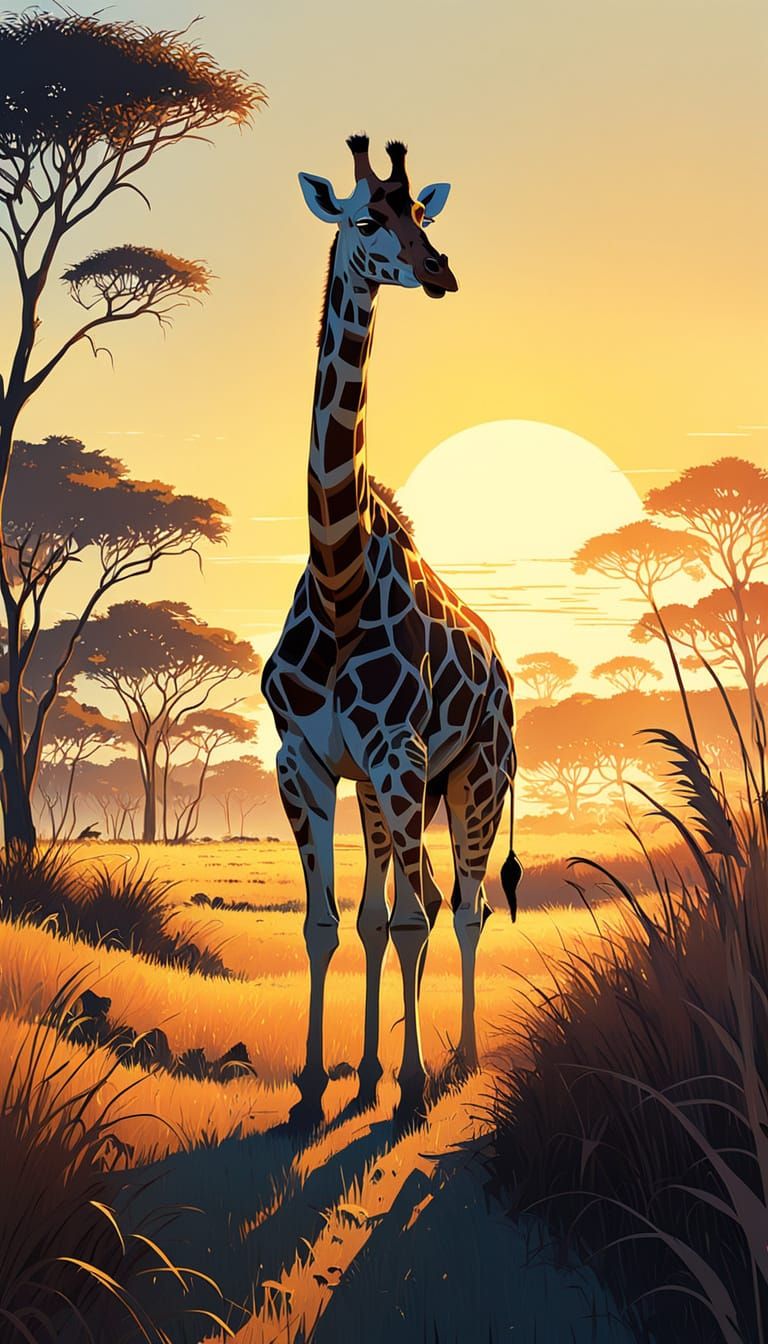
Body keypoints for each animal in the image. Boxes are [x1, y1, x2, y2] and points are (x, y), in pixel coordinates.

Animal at [262, 135, 522, 1126]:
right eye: (366, 218)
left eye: (422, 213)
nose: (440, 270)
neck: (337, 578)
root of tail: (507, 674)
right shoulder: (307, 758)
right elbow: (329, 922)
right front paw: (311, 1090)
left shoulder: (401, 755)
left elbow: (415, 918)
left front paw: (412, 1090)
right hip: (385, 789)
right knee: (389, 912)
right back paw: (370, 1071)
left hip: (475, 778)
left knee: (463, 906)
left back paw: (460, 1063)